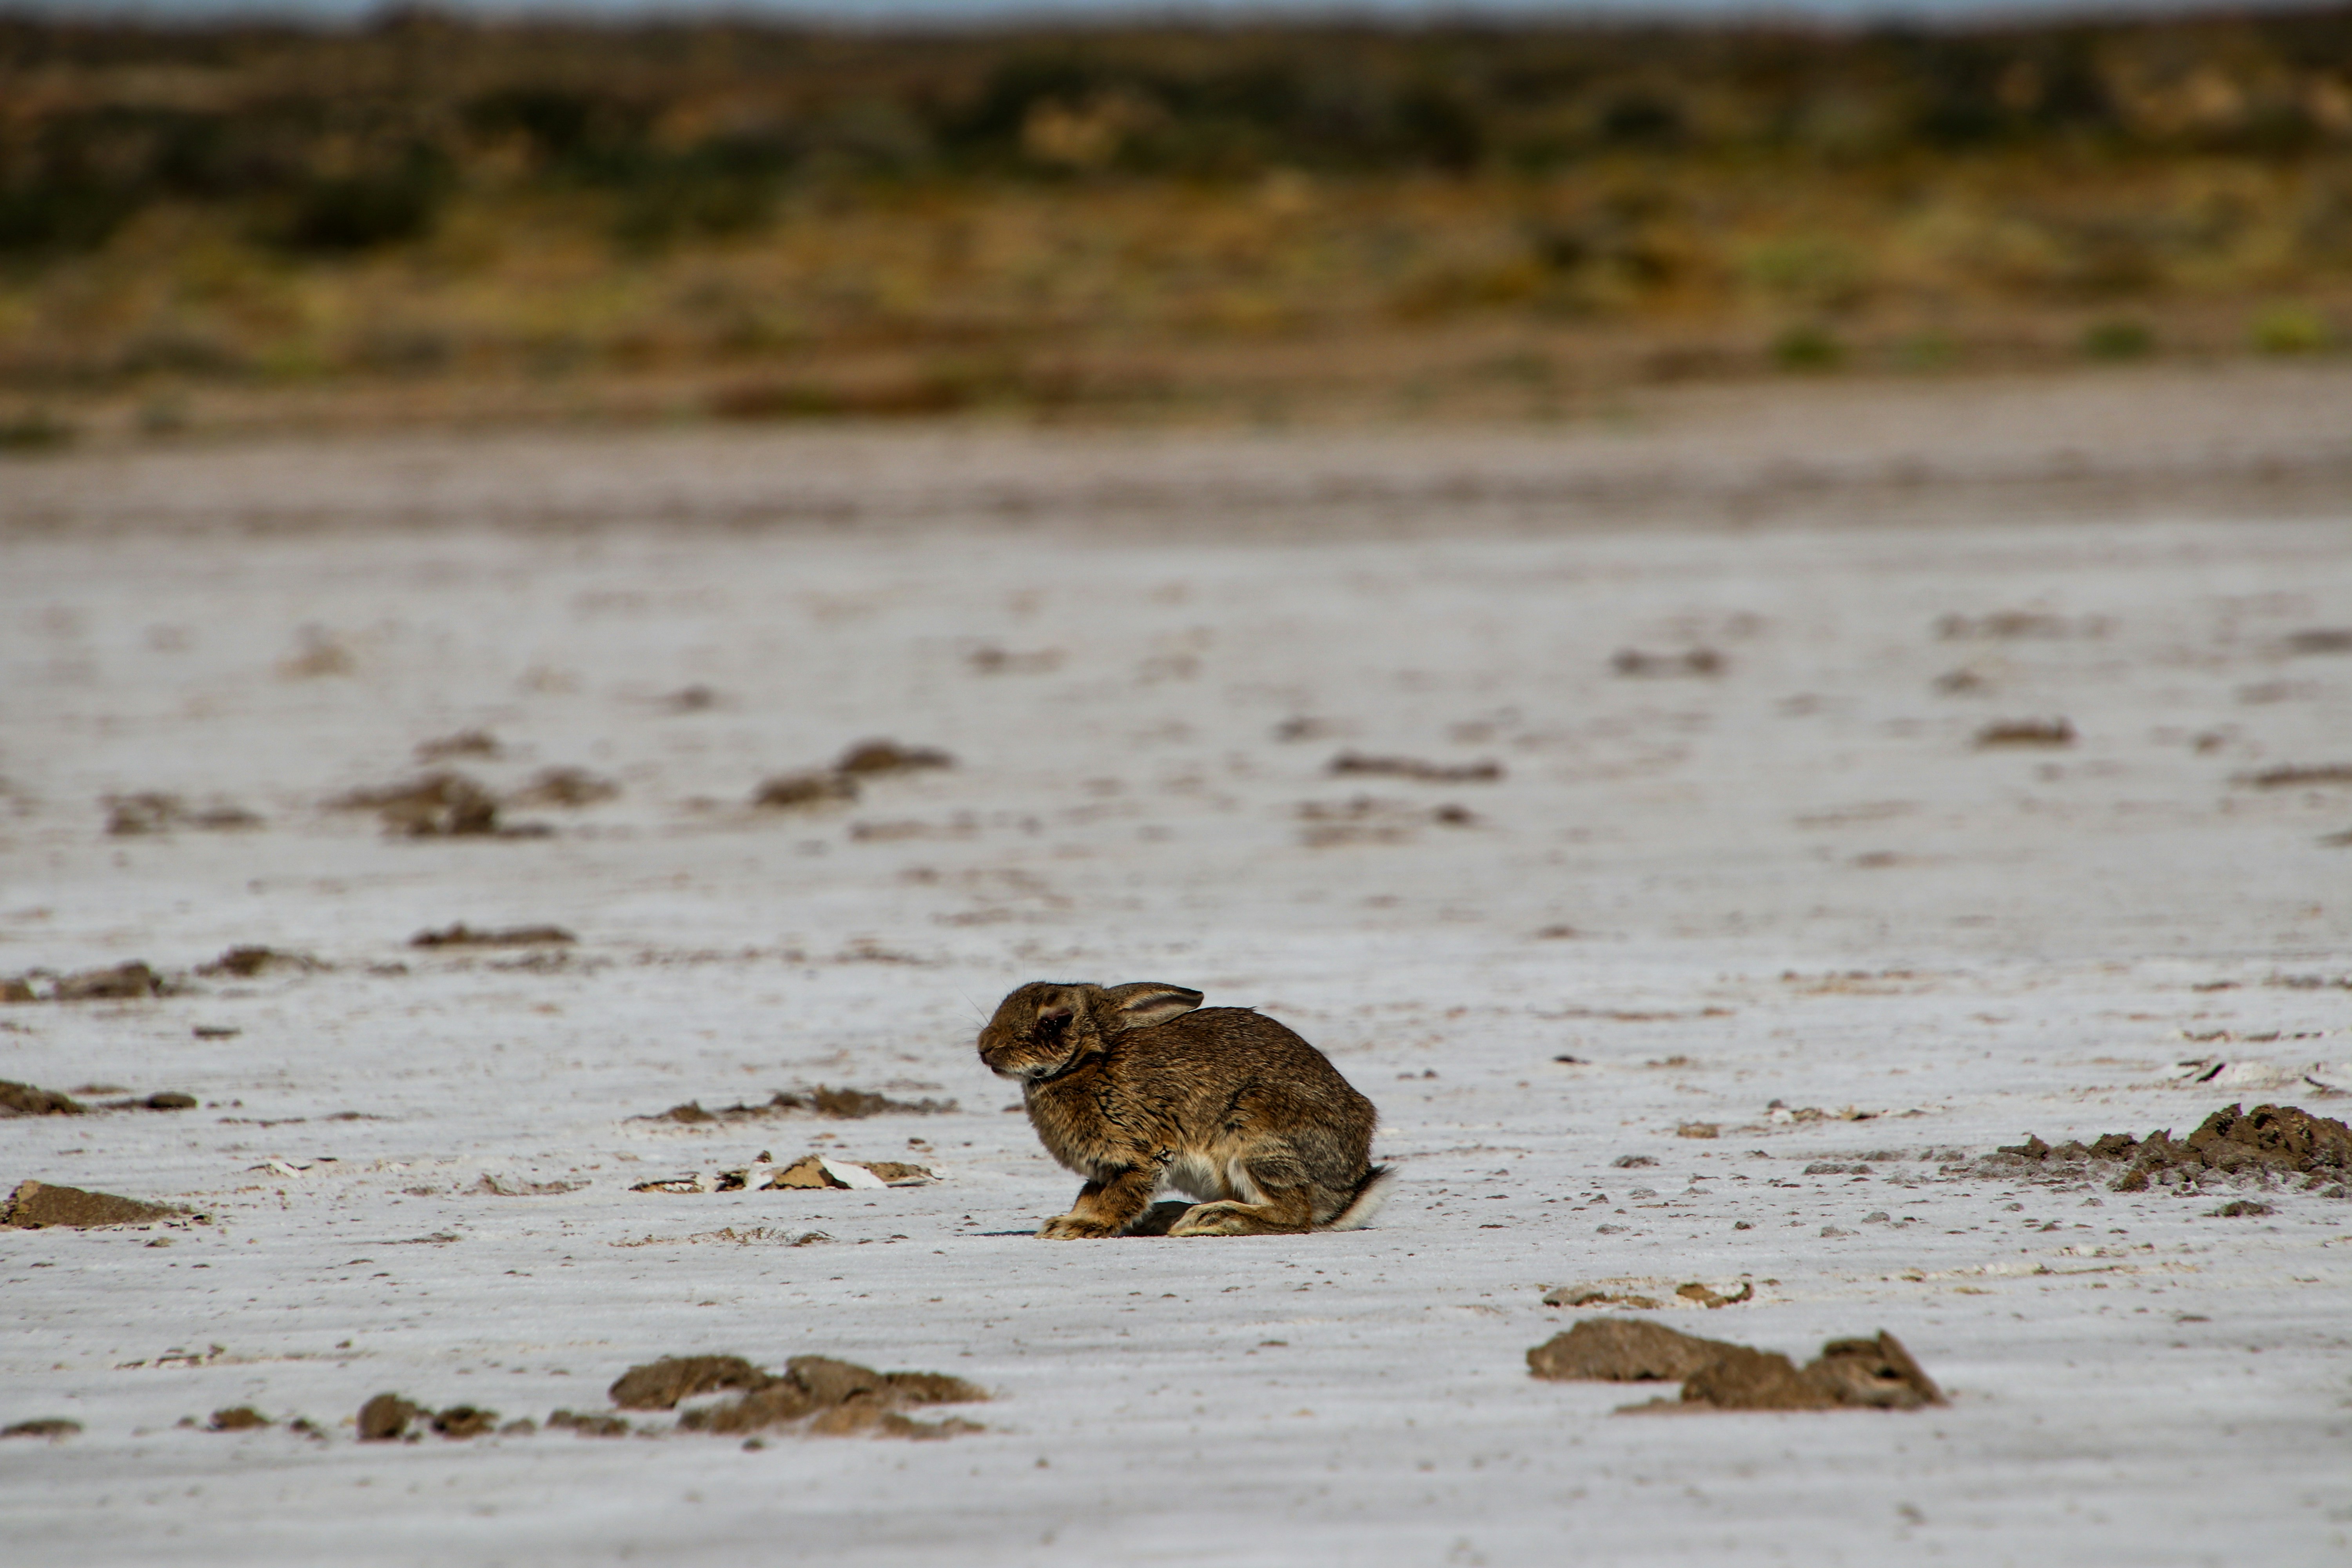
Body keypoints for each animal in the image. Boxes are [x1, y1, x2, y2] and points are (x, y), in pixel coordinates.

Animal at [977, 980, 1391, 1239]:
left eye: (1055, 1022)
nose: (985, 1048)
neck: (1089, 1062)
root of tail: (1350, 1191)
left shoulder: (1143, 1153)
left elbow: (1118, 1197)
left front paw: (1073, 1228)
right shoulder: (1107, 1167)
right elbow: (1090, 1195)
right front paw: (1070, 1220)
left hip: (1257, 1131)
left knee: (1294, 1213)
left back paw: (1211, 1217)